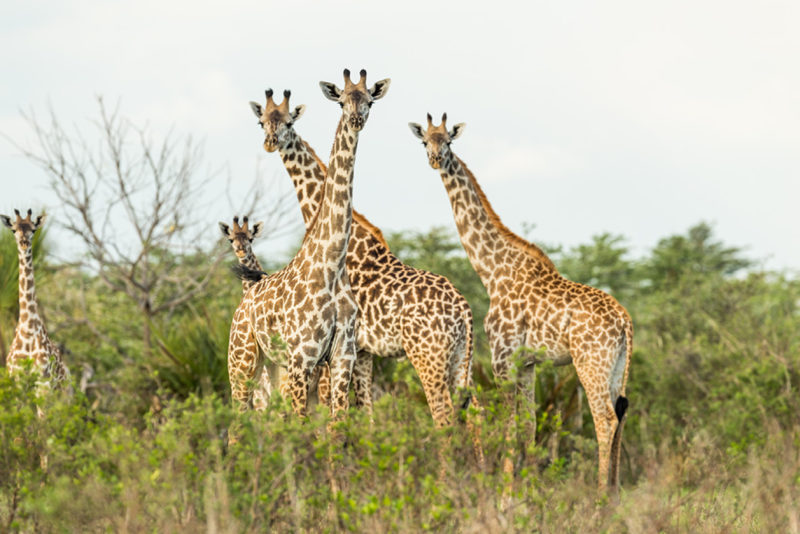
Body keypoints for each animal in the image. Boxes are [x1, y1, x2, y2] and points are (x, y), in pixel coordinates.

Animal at [1, 210, 69, 394]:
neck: (29, 329)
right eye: (14, 230)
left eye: (33, 230)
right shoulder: (17, 382)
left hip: (61, 389)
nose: (24, 244)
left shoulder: (43, 382)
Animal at [247, 90, 482, 450]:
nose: (271, 142)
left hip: (430, 355)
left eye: (287, 122)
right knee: (476, 412)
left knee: (444, 417)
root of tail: (465, 310)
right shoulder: (364, 352)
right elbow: (366, 416)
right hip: (461, 357)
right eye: (262, 121)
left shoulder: (345, 349)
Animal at [412, 115, 632, 496]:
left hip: (590, 362)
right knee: (619, 416)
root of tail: (624, 320)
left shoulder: (502, 357)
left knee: (604, 418)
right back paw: (616, 497)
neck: (492, 270)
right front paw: (527, 494)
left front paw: (505, 498)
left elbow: (508, 424)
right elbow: (528, 426)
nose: (436, 159)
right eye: (425, 141)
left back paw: (600, 497)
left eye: (448, 141)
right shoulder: (528, 362)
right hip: (617, 365)